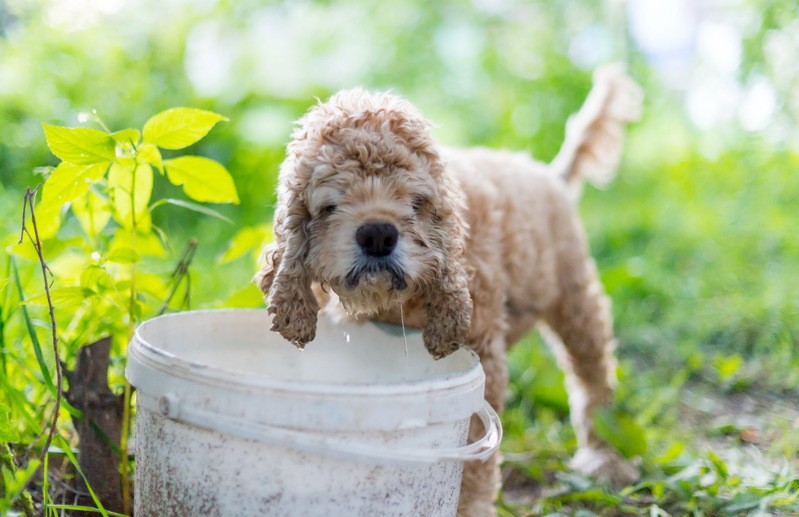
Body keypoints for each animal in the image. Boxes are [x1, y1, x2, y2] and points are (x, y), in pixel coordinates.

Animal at [258, 65, 644, 516]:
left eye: (415, 201)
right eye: (331, 204)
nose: (377, 235)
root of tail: (550, 175)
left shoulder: (483, 355)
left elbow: (473, 451)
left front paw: (467, 505)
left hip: (574, 296)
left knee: (592, 374)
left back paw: (603, 456)